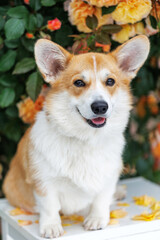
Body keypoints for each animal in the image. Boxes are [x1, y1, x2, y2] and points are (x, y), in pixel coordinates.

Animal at [3, 35, 149, 238]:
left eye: (110, 81)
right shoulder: (43, 181)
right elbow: (49, 206)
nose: (100, 107)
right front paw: (51, 226)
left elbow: (102, 198)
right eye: (79, 83)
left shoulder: (109, 176)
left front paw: (97, 219)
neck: (86, 139)